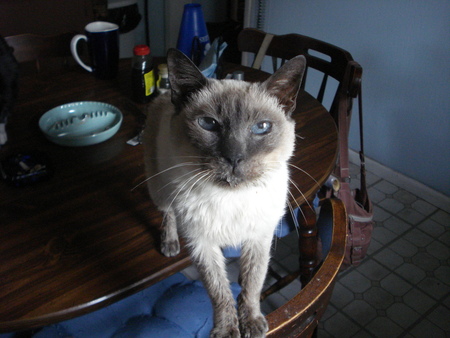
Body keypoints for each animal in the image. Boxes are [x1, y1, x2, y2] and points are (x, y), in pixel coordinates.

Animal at [144, 48, 306, 336]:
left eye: (261, 127)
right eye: (209, 124)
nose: (234, 158)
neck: (232, 197)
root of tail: (163, 95)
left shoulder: (259, 238)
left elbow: (252, 283)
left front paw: (251, 323)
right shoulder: (202, 244)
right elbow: (219, 291)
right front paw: (227, 329)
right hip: (159, 189)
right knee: (168, 213)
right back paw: (170, 244)